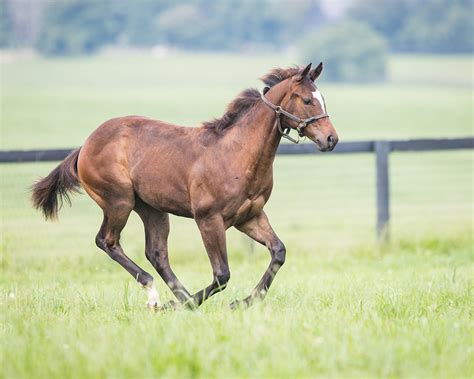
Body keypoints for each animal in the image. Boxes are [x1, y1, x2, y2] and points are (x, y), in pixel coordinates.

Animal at [30, 62, 336, 312]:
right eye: (307, 100)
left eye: (322, 99)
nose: (331, 139)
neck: (236, 153)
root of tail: (84, 147)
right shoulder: (209, 219)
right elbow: (222, 274)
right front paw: (208, 304)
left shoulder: (249, 217)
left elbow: (278, 252)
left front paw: (243, 302)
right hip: (119, 201)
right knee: (107, 241)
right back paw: (157, 296)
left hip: (152, 209)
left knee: (156, 253)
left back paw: (179, 299)